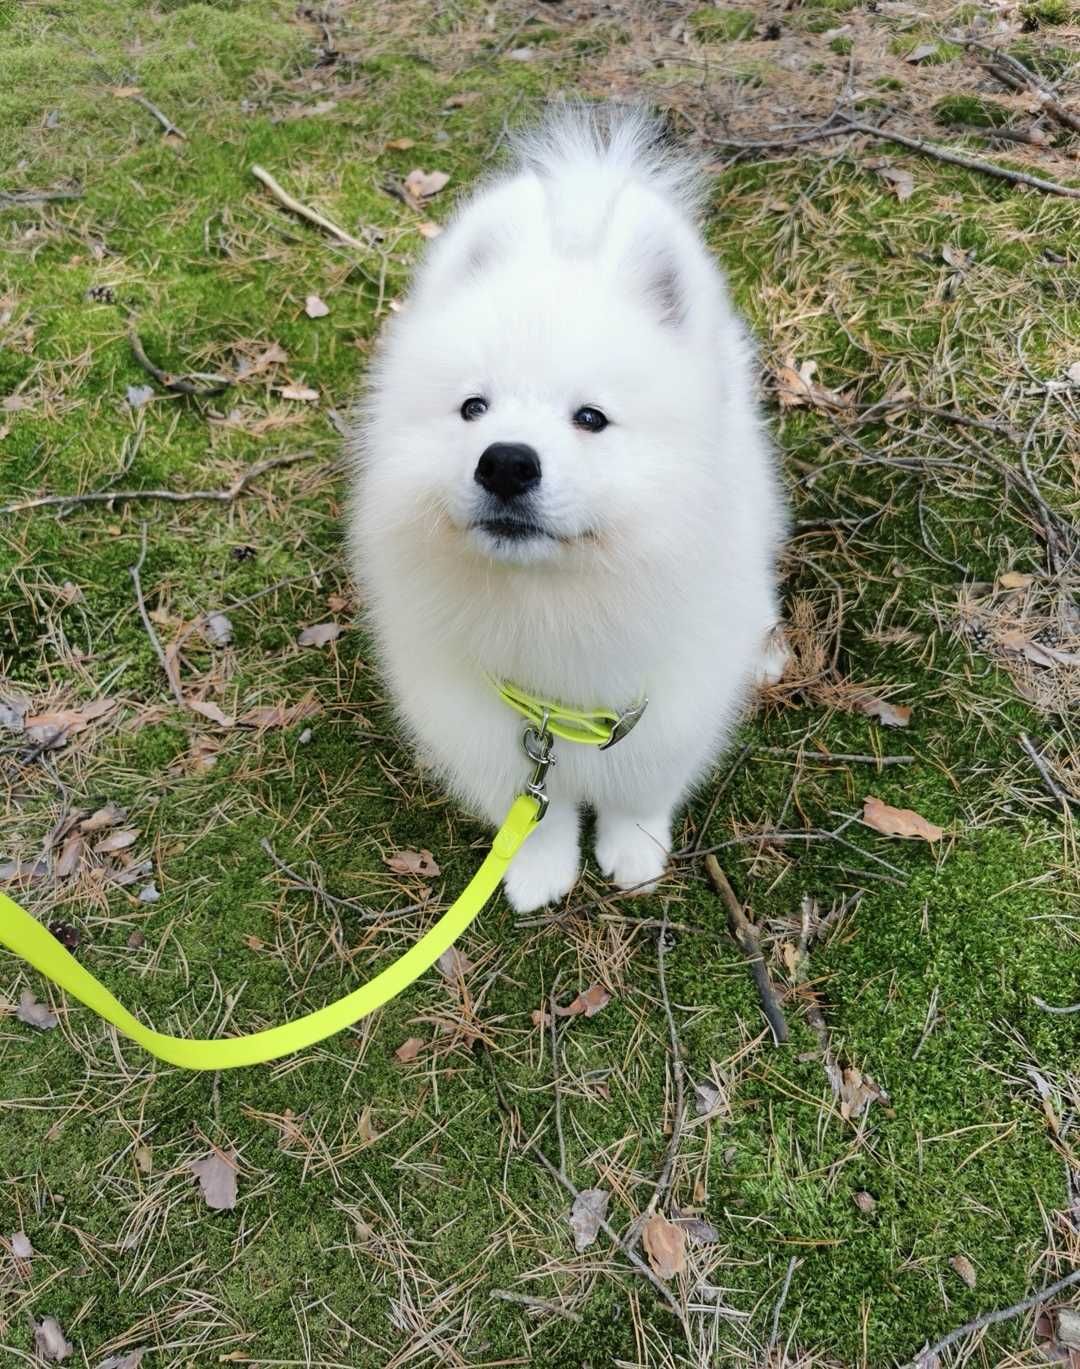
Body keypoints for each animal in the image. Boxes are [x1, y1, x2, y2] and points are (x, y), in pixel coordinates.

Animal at [353, 109, 782, 909]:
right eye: (473, 407)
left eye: (591, 418)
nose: (506, 462)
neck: (552, 605)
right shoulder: (486, 728)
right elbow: (532, 817)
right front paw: (538, 869)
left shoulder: (669, 705)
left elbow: (642, 789)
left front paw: (635, 848)